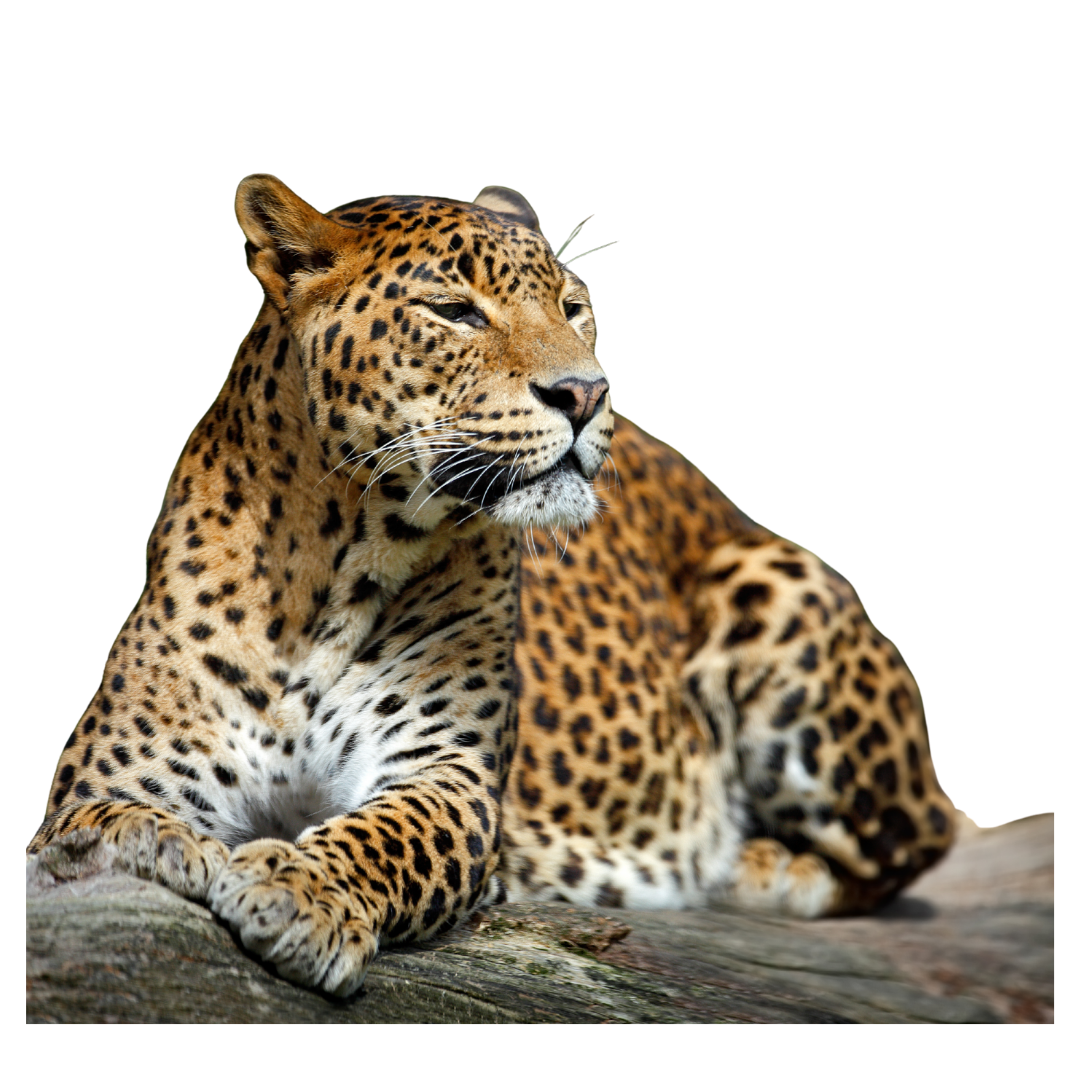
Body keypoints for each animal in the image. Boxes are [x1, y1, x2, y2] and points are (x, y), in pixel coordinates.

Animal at [28, 175, 956, 998]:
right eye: (455, 311)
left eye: (573, 307)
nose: (586, 392)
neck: (334, 567)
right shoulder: (113, 774)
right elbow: (96, 826)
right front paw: (157, 846)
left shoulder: (449, 774)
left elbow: (384, 836)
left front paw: (297, 890)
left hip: (777, 586)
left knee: (916, 841)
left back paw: (750, 863)